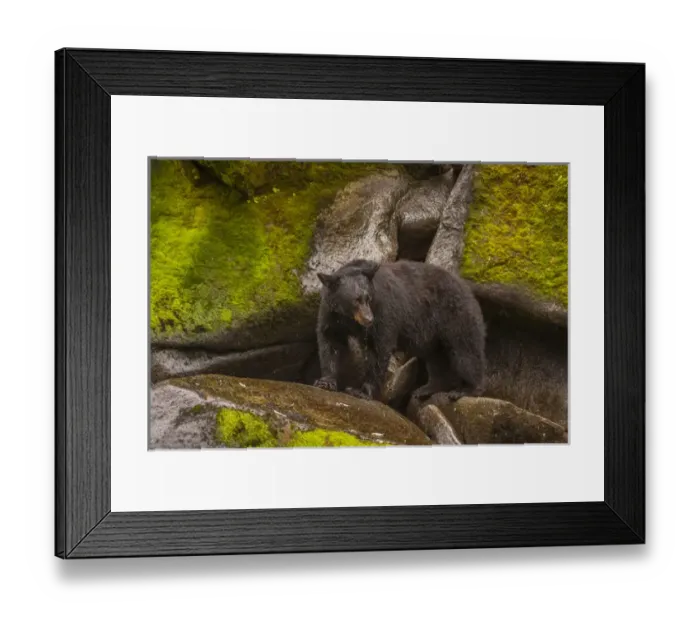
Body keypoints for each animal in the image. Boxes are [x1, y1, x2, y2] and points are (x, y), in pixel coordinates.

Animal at [313, 259, 486, 403]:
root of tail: (467, 288)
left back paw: (465, 390)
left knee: (466, 352)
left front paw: (361, 391)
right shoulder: (331, 315)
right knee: (436, 359)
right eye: (356, 300)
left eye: (368, 298)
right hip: (433, 337)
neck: (349, 318)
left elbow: (379, 349)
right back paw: (426, 389)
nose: (369, 319)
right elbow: (330, 343)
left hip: (455, 317)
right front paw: (325, 381)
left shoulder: (383, 311)